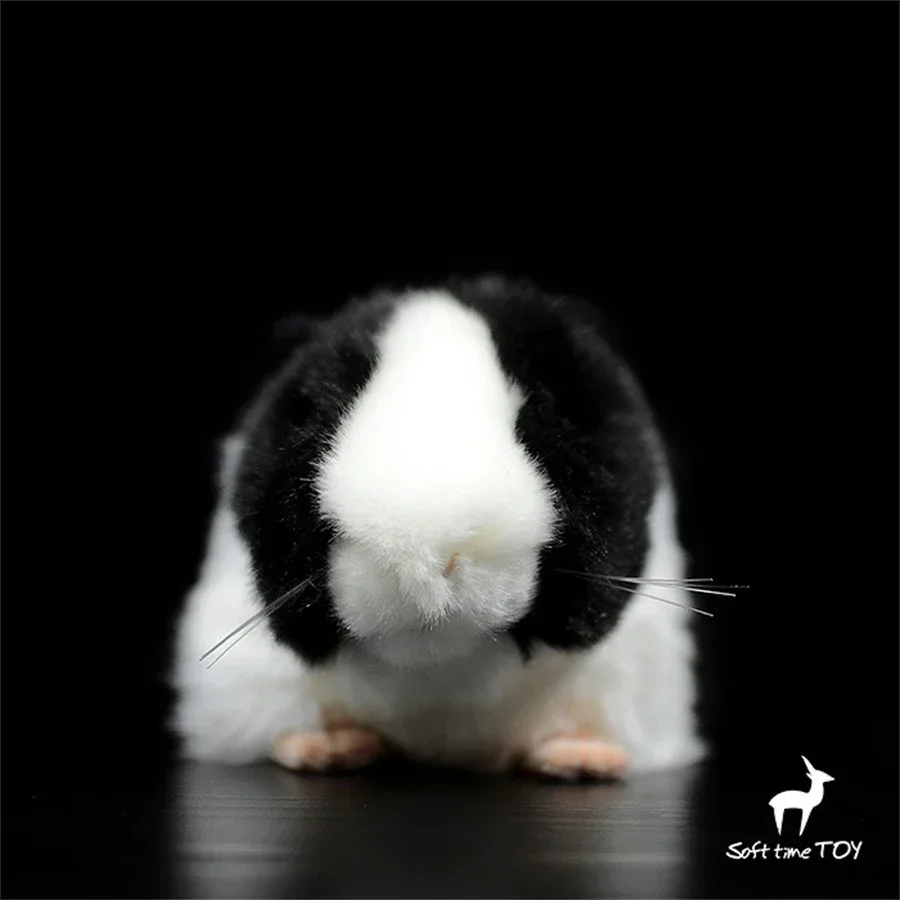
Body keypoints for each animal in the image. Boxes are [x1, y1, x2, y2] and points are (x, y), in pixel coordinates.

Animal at [170, 276, 706, 779]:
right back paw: (332, 747)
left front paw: (585, 760)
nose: (422, 564)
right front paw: (323, 748)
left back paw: (580, 757)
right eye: (321, 414)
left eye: (541, 419)